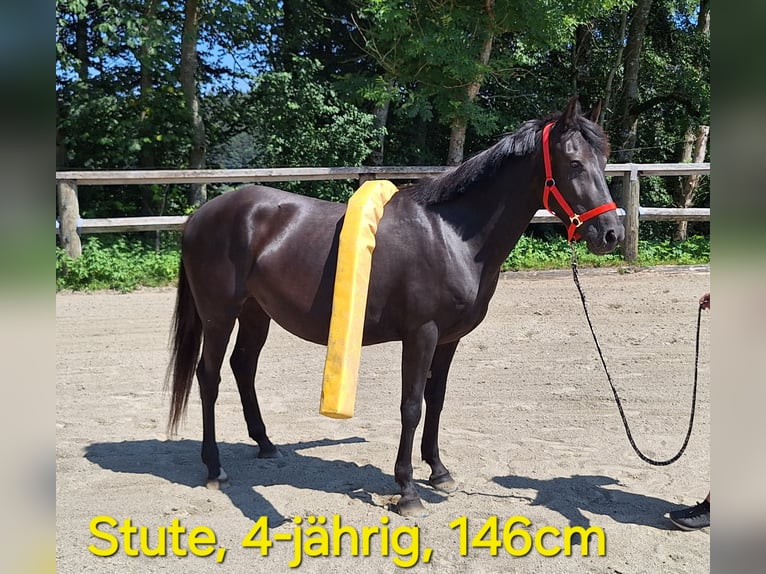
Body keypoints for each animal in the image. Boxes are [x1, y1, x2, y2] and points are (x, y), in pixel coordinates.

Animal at [166, 98, 624, 516]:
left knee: (243, 367)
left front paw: (439, 471)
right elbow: (412, 406)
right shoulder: (421, 334)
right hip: (219, 315)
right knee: (209, 377)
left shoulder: (449, 339)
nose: (611, 233)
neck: (451, 235)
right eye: (573, 163)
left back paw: (265, 444)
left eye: (603, 160)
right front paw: (407, 490)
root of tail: (200, 216)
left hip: (256, 313)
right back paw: (214, 468)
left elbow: (436, 400)